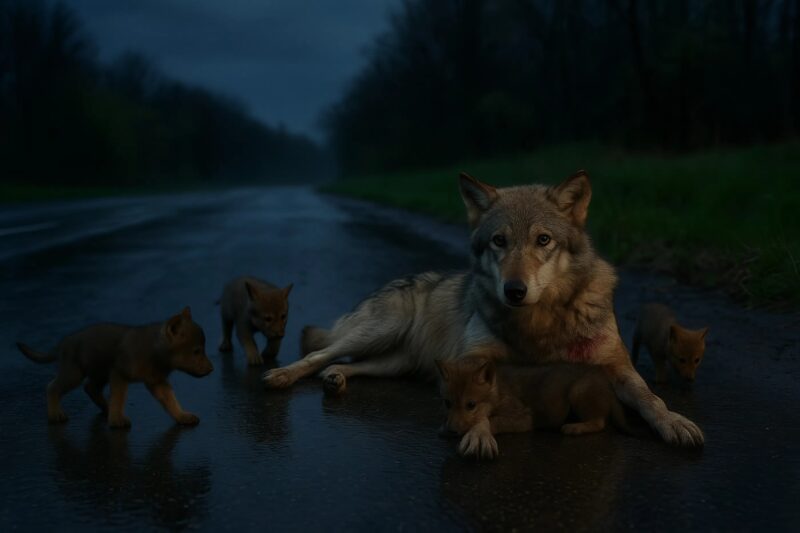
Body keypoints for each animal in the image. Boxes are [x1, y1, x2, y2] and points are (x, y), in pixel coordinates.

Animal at [17, 307, 213, 428]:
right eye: (197, 351)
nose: (212, 369)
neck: (155, 352)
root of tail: (63, 343)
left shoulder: (157, 382)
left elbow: (171, 401)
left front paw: (182, 416)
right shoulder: (120, 374)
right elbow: (119, 397)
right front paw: (117, 420)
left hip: (99, 373)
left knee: (90, 388)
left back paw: (106, 409)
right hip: (74, 373)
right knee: (52, 387)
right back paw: (55, 415)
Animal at [263, 170, 704, 447]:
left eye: (543, 240)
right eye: (498, 241)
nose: (514, 290)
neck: (540, 321)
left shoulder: (616, 366)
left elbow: (650, 398)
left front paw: (676, 423)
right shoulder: (472, 357)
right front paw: (478, 434)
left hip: (395, 362)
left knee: (347, 363)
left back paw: (336, 378)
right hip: (378, 332)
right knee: (320, 353)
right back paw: (282, 376)